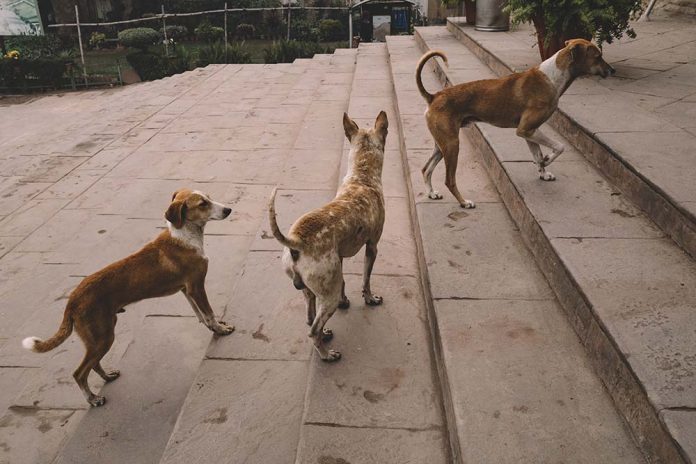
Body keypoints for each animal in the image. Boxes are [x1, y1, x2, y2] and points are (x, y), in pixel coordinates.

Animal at [21, 188, 235, 406]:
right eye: (202, 204)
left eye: (209, 198)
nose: (228, 210)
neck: (184, 234)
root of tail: (72, 300)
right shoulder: (196, 286)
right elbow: (208, 313)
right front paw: (221, 329)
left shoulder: (186, 290)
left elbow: (199, 314)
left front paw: (212, 327)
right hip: (102, 336)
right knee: (79, 373)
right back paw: (93, 399)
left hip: (99, 336)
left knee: (93, 364)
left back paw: (107, 377)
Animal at [268, 112, 388, 362]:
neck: (362, 177)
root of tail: (296, 242)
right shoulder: (372, 246)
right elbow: (366, 279)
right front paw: (370, 299)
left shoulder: (338, 257)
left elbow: (344, 282)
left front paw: (345, 301)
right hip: (326, 294)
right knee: (312, 330)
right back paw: (327, 354)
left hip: (310, 290)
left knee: (310, 317)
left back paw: (325, 335)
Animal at [416, 39, 612, 208]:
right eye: (598, 56)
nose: (612, 71)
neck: (552, 77)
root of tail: (434, 96)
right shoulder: (525, 129)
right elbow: (559, 146)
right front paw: (548, 160)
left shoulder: (531, 132)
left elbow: (537, 155)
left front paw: (543, 171)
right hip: (452, 145)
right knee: (449, 180)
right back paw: (464, 202)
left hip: (442, 145)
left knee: (426, 169)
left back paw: (432, 193)